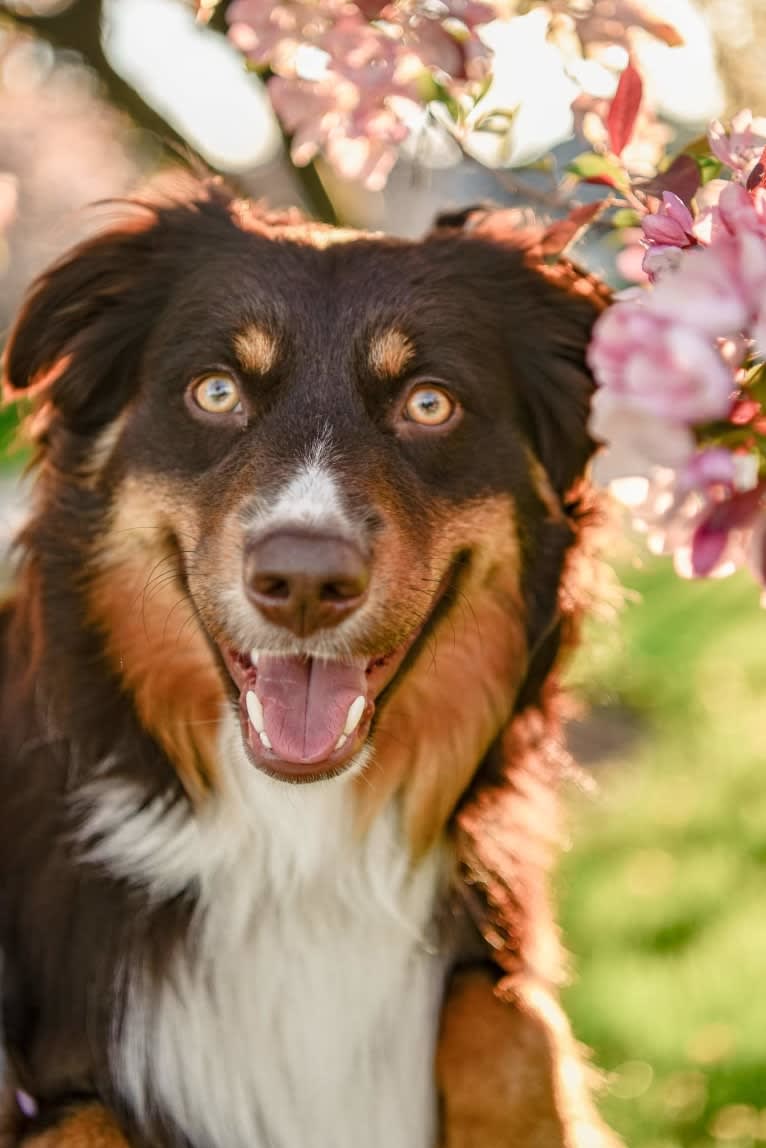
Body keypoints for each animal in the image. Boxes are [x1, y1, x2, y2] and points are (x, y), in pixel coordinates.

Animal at [0, 183, 615, 1148]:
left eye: (430, 403)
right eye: (216, 391)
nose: (303, 583)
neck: (293, 850)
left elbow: (509, 1019)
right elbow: (85, 1122)